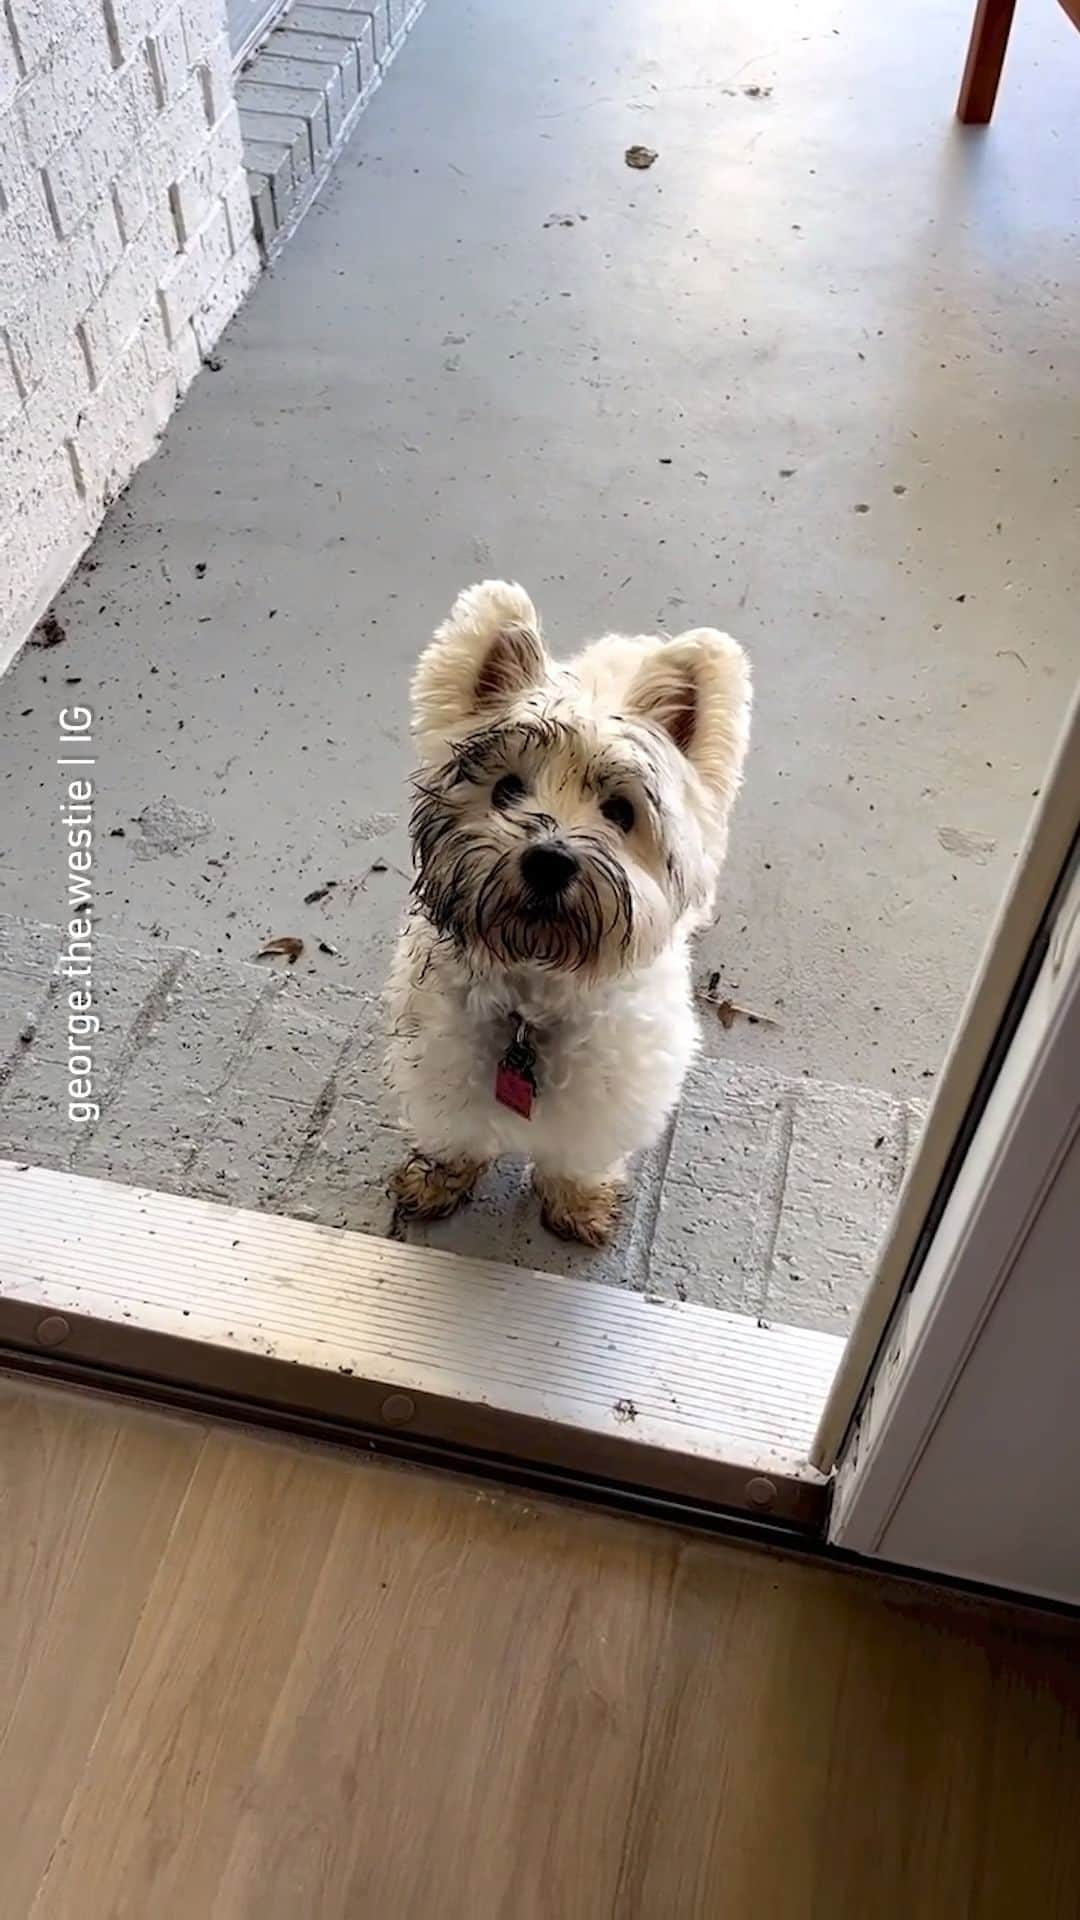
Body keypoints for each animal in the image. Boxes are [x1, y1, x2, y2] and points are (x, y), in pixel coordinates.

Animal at [384, 576, 749, 1251]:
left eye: (621, 811)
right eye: (506, 789)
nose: (548, 861)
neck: (533, 995)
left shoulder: (614, 1083)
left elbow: (580, 1150)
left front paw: (577, 1200)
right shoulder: (441, 1051)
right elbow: (455, 1127)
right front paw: (441, 1177)